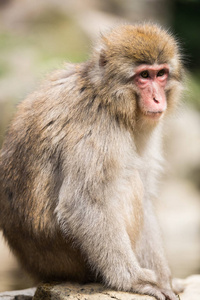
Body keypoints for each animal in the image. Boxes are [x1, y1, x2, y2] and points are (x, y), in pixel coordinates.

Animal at [0, 24, 184, 300]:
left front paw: (165, 280)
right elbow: (84, 203)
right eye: (144, 76)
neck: (105, 94)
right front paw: (134, 281)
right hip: (68, 260)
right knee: (128, 181)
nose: (157, 99)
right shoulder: (97, 124)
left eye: (160, 74)